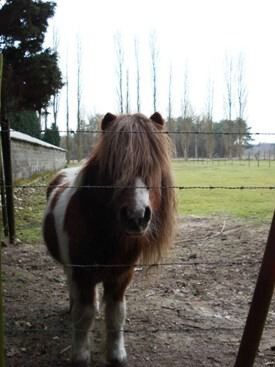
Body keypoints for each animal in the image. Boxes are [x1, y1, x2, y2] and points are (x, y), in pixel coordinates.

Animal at [43, 113, 177, 367]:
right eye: (114, 167)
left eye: (153, 166)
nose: (136, 217)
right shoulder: (82, 274)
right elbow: (84, 316)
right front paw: (80, 356)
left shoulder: (121, 277)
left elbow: (116, 315)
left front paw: (116, 355)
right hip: (70, 269)